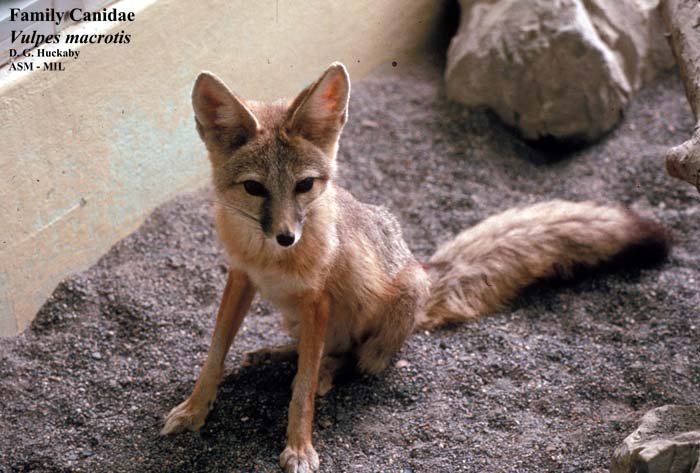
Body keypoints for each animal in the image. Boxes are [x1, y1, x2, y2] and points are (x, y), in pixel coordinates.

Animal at [160, 62, 669, 472]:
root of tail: (422, 266)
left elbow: (301, 391)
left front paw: (299, 447)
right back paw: (274, 354)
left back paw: (325, 371)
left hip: (384, 312)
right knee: (312, 350)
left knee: (346, 360)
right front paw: (194, 410)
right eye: (254, 188)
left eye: (304, 186)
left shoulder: (317, 299)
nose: (287, 235)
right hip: (296, 315)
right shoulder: (241, 277)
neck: (269, 258)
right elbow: (214, 354)